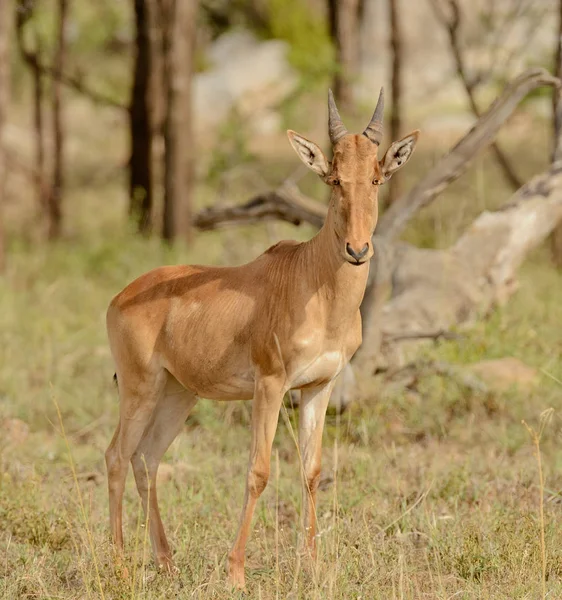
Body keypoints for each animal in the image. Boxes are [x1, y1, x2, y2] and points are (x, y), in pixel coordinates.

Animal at [105, 89, 418, 584]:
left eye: (376, 177)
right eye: (333, 178)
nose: (357, 249)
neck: (312, 280)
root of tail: (122, 296)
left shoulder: (319, 387)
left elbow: (312, 470)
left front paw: (312, 564)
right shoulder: (269, 386)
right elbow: (258, 470)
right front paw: (235, 570)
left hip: (178, 393)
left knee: (146, 458)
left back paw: (166, 560)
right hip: (139, 388)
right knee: (116, 457)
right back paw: (119, 564)